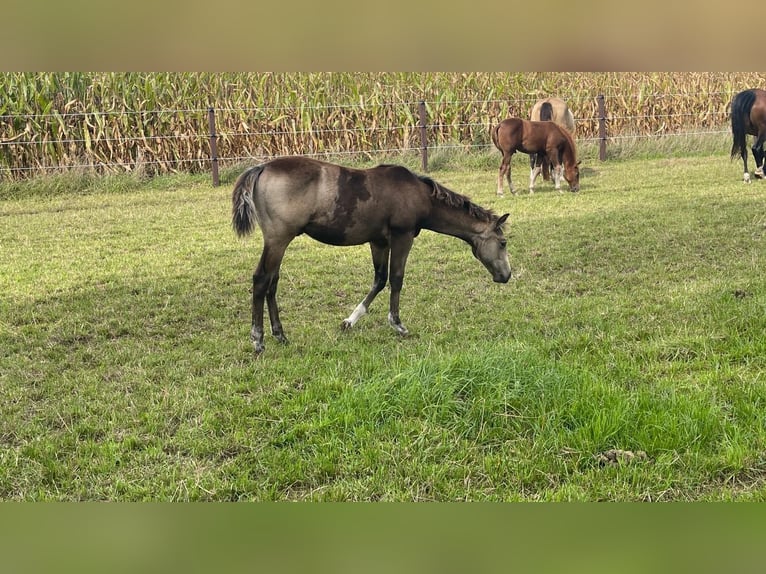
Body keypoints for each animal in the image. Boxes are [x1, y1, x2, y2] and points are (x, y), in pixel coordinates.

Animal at [232, 156, 512, 354]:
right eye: (503, 242)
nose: (506, 276)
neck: (419, 194)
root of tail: (262, 167)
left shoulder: (379, 241)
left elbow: (379, 279)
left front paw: (349, 321)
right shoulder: (402, 236)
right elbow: (396, 278)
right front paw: (397, 324)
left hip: (280, 242)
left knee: (272, 282)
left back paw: (280, 334)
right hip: (278, 240)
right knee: (261, 280)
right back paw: (258, 339)